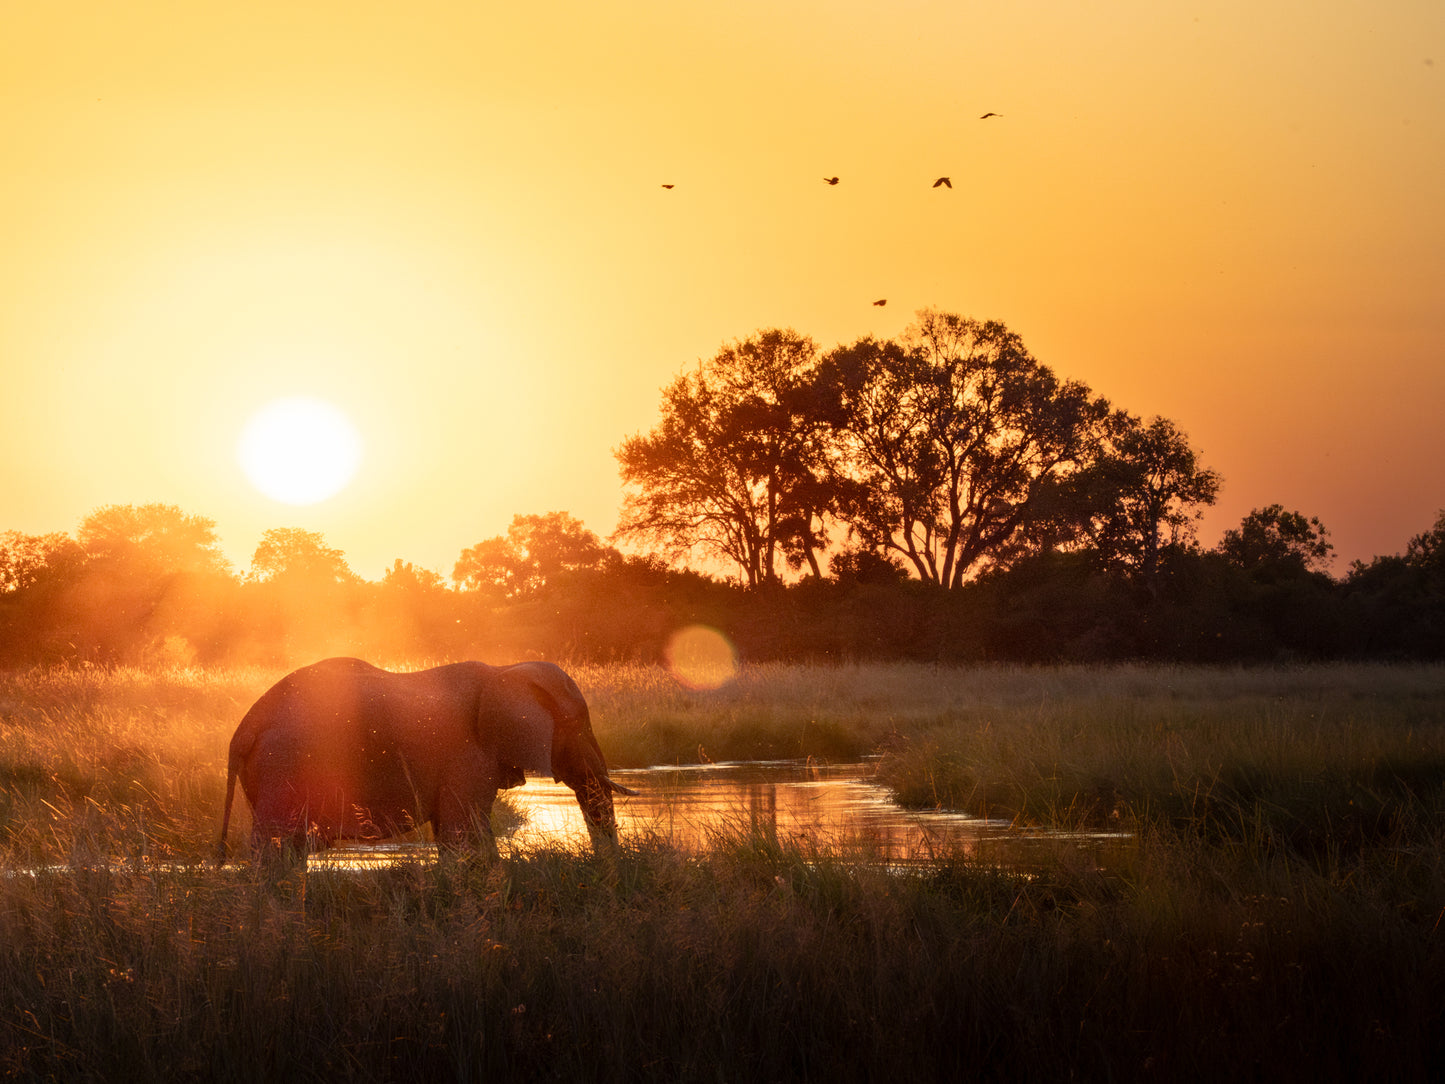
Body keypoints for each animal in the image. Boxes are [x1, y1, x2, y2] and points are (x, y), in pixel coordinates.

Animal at [216, 657, 636, 863]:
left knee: (290, 848)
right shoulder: (468, 754)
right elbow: (464, 834)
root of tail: (244, 728)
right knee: (273, 845)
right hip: (283, 767)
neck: (505, 670)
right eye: (577, 724)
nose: (603, 866)